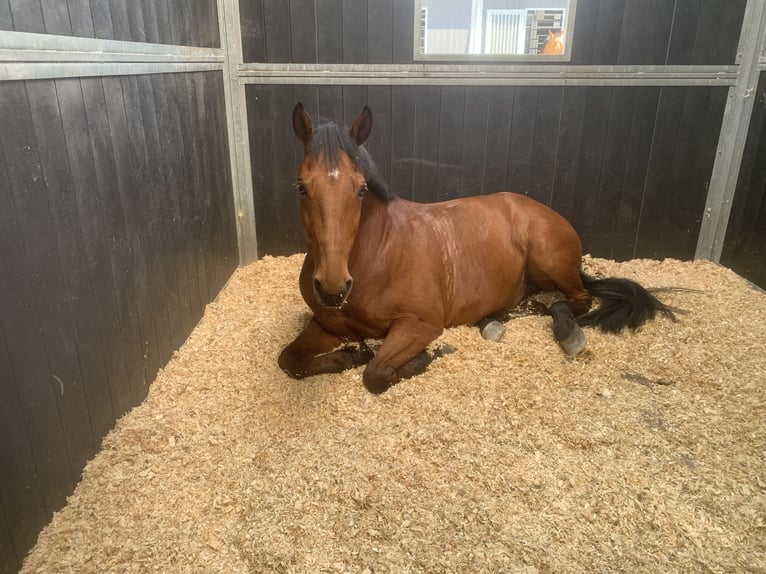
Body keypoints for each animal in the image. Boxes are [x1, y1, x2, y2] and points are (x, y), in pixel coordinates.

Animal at [278, 103, 675, 394]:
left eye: (360, 189)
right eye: (300, 187)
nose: (332, 288)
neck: (376, 254)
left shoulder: (420, 324)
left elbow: (376, 372)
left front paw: (426, 356)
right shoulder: (327, 324)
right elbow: (289, 360)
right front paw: (348, 357)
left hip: (550, 260)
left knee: (576, 300)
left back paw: (568, 332)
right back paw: (497, 320)